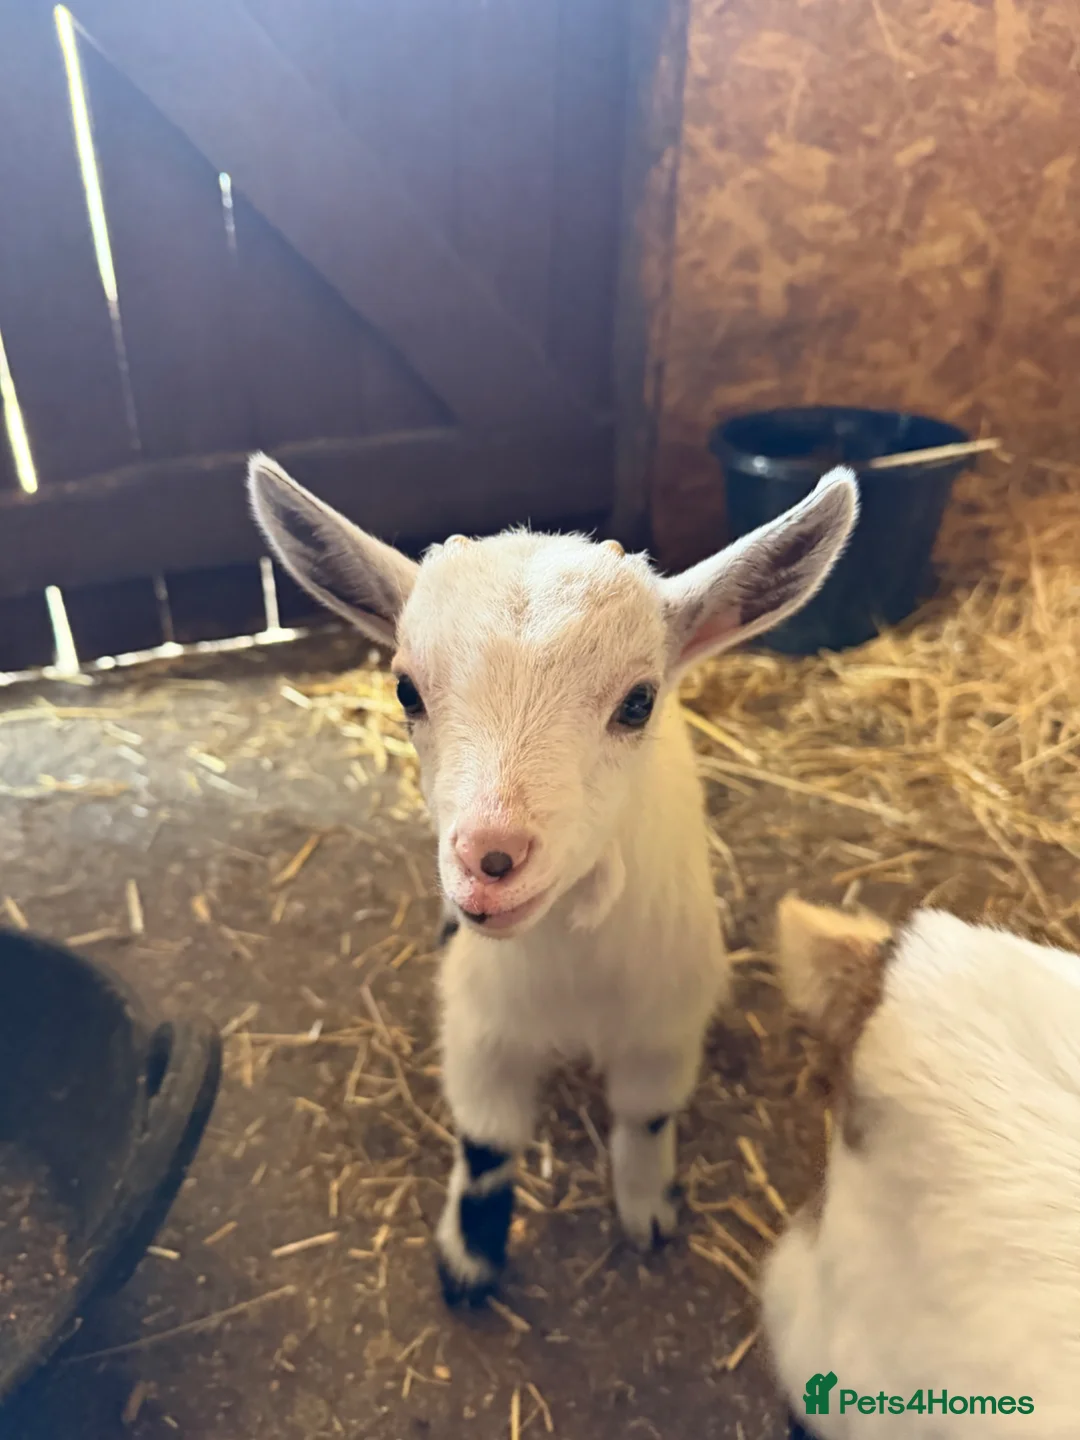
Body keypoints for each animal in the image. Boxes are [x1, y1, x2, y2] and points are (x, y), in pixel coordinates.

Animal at [248, 455, 858, 1305]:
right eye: (406, 690)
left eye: (638, 701)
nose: (492, 857)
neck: (574, 976)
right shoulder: (481, 1023)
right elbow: (486, 1142)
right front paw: (469, 1260)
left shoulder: (666, 1025)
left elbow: (646, 1117)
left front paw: (647, 1210)